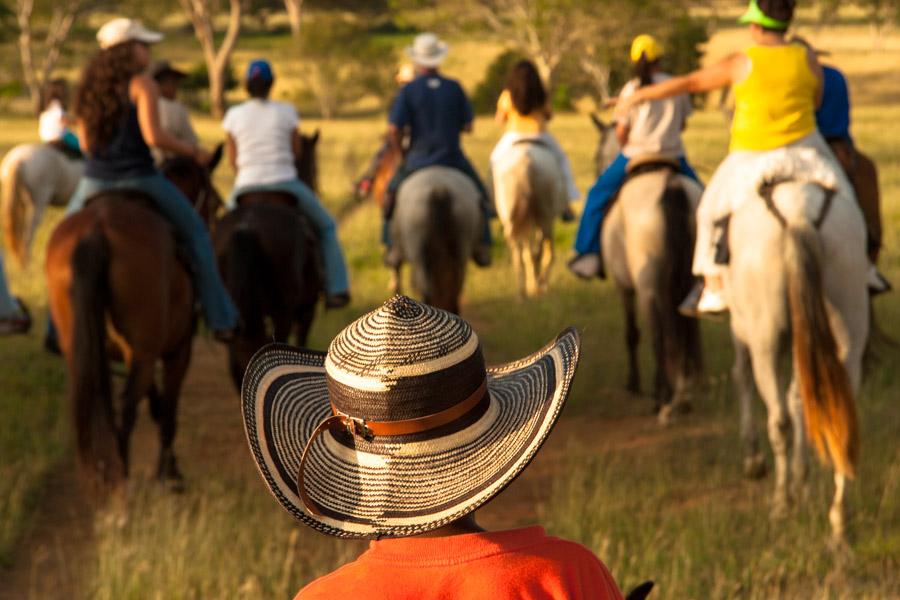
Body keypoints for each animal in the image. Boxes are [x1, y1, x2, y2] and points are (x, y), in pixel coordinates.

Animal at [44, 152, 223, 490]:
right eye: (217, 203)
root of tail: (96, 231)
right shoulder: (177, 351)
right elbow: (168, 409)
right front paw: (169, 472)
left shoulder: (139, 351)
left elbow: (155, 401)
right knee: (126, 410)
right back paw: (122, 483)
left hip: (87, 351)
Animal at [212, 130, 322, 390]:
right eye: (315, 168)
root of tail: (246, 227)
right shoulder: (306, 309)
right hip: (283, 310)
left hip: (235, 312)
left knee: (239, 361)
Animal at [492, 141, 564, 300]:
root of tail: (526, 164)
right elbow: (543, 254)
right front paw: (539, 285)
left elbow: (528, 254)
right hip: (543, 218)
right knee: (537, 252)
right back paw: (535, 287)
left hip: (515, 221)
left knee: (519, 253)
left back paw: (522, 293)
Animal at [732, 173, 872, 544]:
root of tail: (799, 212)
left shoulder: (743, 330)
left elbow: (743, 376)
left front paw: (755, 462)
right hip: (849, 322)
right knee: (838, 413)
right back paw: (838, 519)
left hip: (765, 337)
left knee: (779, 417)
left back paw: (782, 503)